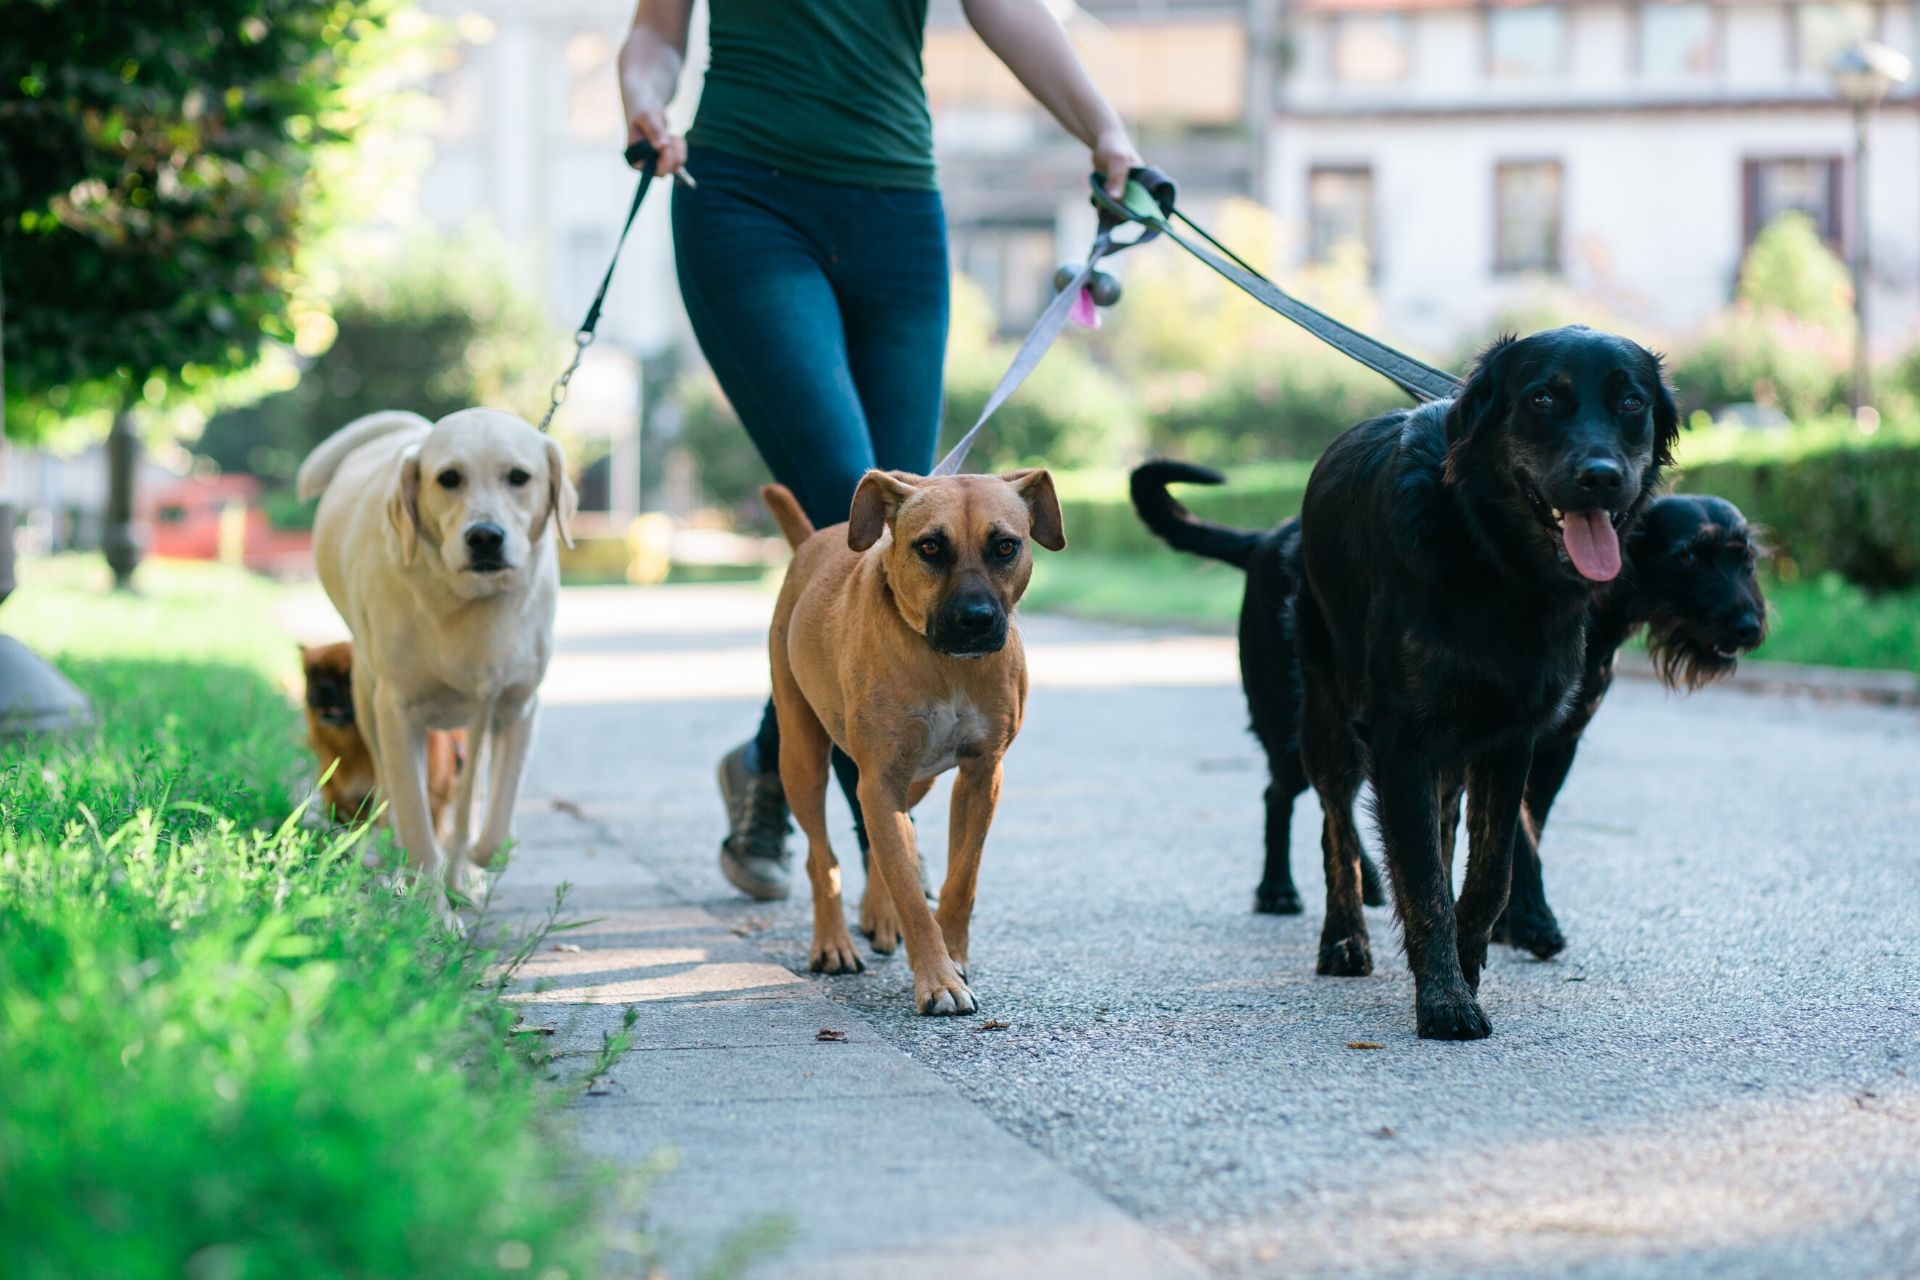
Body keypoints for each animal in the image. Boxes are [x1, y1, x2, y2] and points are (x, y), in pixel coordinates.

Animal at [299, 640, 464, 840]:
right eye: (312, 674)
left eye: (348, 678)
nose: (324, 687)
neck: (357, 746)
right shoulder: (336, 786)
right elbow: (341, 805)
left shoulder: (431, 800)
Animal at [760, 470, 1067, 1020]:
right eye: (930, 547)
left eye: (1005, 546)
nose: (975, 619)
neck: (944, 664)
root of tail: (813, 541)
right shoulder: (880, 779)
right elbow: (908, 888)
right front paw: (938, 978)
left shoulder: (981, 774)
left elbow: (960, 877)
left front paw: (954, 953)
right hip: (801, 756)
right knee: (822, 857)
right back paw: (833, 942)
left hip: (917, 780)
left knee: (884, 840)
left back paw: (877, 915)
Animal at [1128, 466, 1758, 955]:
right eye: (1690, 556)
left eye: (1745, 558)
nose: (1751, 627)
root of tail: (1263, 540)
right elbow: (1521, 836)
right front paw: (1531, 922)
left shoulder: (1555, 744)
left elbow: (1521, 831)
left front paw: (1507, 919)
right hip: (1293, 718)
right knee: (1283, 795)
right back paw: (1279, 889)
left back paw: (1371, 881)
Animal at [1290, 328, 1681, 1043]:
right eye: (1543, 398)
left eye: (1632, 402)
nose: (1602, 478)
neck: (1496, 563)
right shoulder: (1401, 740)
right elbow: (1421, 879)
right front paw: (1445, 1000)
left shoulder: (1510, 739)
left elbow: (1488, 873)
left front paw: (1464, 970)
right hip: (1329, 719)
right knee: (1338, 829)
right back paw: (1344, 940)